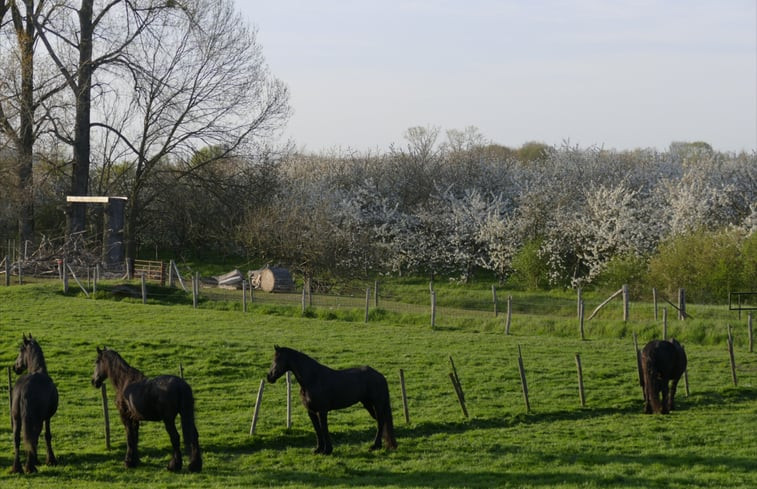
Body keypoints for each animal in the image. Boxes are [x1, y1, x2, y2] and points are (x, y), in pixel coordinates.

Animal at [10, 334, 58, 470]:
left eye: (20, 350)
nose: (15, 367)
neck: (39, 370)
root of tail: (23, 389)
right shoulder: (46, 417)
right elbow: (46, 435)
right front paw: (50, 460)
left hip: (17, 418)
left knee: (17, 438)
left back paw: (17, 468)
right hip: (34, 418)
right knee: (32, 436)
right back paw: (30, 467)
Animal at [264, 344, 396, 454]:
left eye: (277, 360)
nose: (269, 377)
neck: (312, 379)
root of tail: (380, 376)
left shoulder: (322, 411)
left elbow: (324, 429)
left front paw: (327, 450)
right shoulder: (311, 411)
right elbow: (317, 430)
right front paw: (318, 449)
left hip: (377, 404)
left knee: (380, 422)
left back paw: (375, 446)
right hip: (368, 404)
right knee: (381, 422)